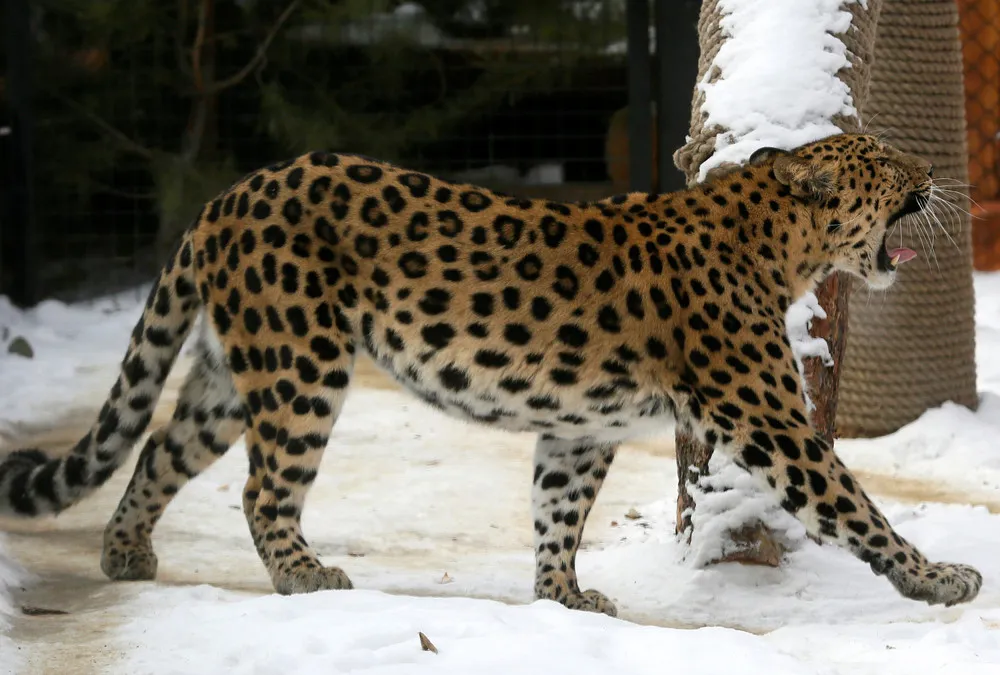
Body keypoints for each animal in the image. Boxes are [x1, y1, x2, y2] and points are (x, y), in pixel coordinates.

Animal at [0, 132, 980, 616]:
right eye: (883, 162)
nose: (932, 169)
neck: (778, 245)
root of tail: (225, 198)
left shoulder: (581, 427)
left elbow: (557, 510)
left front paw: (563, 598)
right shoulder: (766, 416)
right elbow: (854, 504)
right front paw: (937, 579)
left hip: (229, 370)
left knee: (157, 449)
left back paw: (126, 553)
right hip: (303, 362)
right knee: (261, 487)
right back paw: (303, 577)